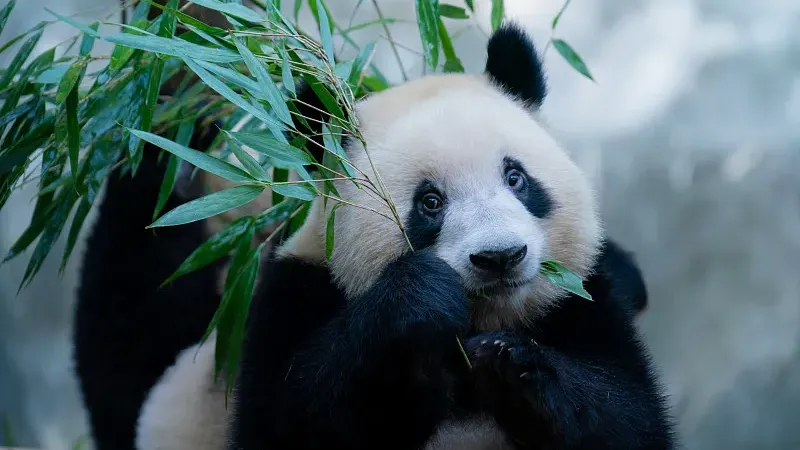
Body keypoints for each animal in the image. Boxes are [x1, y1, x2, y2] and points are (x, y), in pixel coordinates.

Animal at [132, 22, 674, 450]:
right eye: (430, 202)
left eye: (515, 177)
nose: (500, 257)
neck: (482, 319)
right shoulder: (294, 296)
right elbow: (289, 423)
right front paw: (420, 303)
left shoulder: (581, 298)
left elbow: (628, 417)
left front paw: (511, 365)